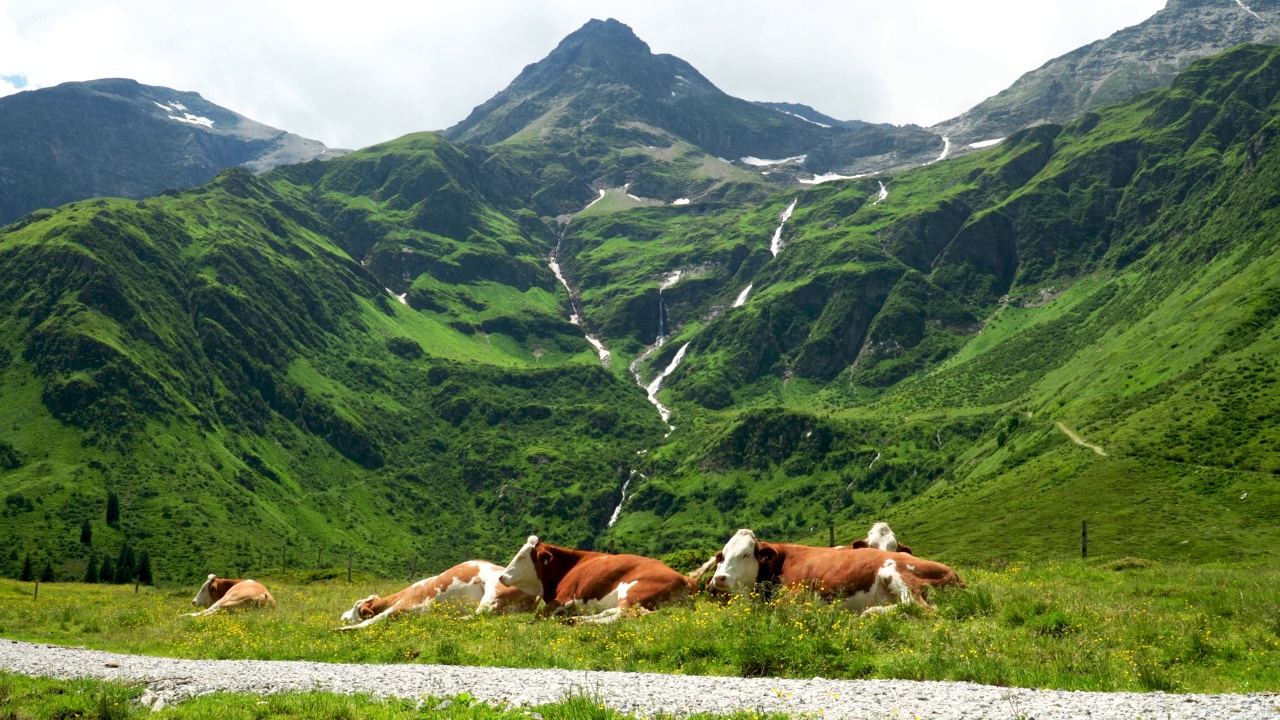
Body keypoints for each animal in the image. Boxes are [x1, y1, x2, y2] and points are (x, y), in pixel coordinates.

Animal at [335, 556, 535, 627]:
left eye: (357, 606)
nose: (342, 616)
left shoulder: (406, 603)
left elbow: (376, 619)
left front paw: (344, 629)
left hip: (492, 591)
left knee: (480, 613)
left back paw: (451, 618)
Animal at [494, 532, 711, 622]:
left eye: (522, 557)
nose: (502, 576)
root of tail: (686, 578)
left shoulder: (565, 597)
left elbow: (539, 614)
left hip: (631, 591)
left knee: (626, 614)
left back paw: (577, 621)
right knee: (614, 611)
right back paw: (577, 619)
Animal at [711, 525, 962, 614]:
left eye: (745, 554)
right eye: (722, 555)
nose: (719, 578)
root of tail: (954, 574)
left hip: (893, 572)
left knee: (918, 605)